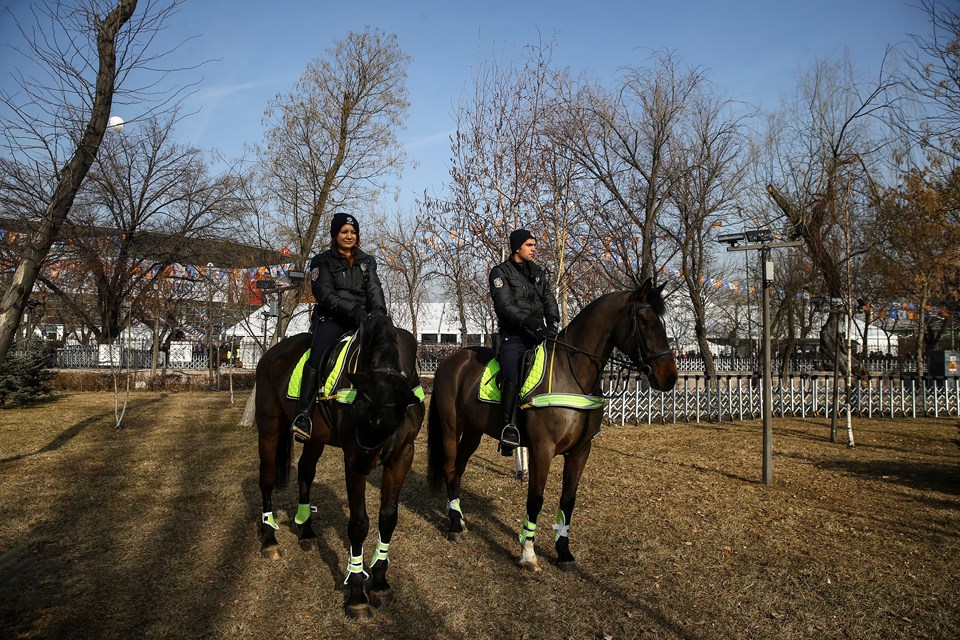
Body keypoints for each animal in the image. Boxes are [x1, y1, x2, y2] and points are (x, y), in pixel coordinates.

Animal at [255, 316, 424, 620]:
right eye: (355, 409)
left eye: (392, 421)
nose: (365, 465)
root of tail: (271, 353)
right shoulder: (352, 457)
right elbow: (359, 523)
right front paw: (357, 593)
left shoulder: (402, 455)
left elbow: (388, 518)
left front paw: (379, 582)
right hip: (269, 428)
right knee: (267, 479)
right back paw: (270, 540)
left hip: (315, 440)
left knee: (305, 473)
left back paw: (307, 532)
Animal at [424, 282, 680, 572]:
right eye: (646, 321)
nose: (670, 377)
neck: (572, 374)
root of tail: (451, 360)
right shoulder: (541, 450)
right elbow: (536, 499)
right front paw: (528, 553)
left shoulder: (580, 451)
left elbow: (568, 500)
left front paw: (564, 552)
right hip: (450, 428)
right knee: (449, 467)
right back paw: (454, 527)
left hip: (473, 432)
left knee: (458, 469)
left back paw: (458, 518)